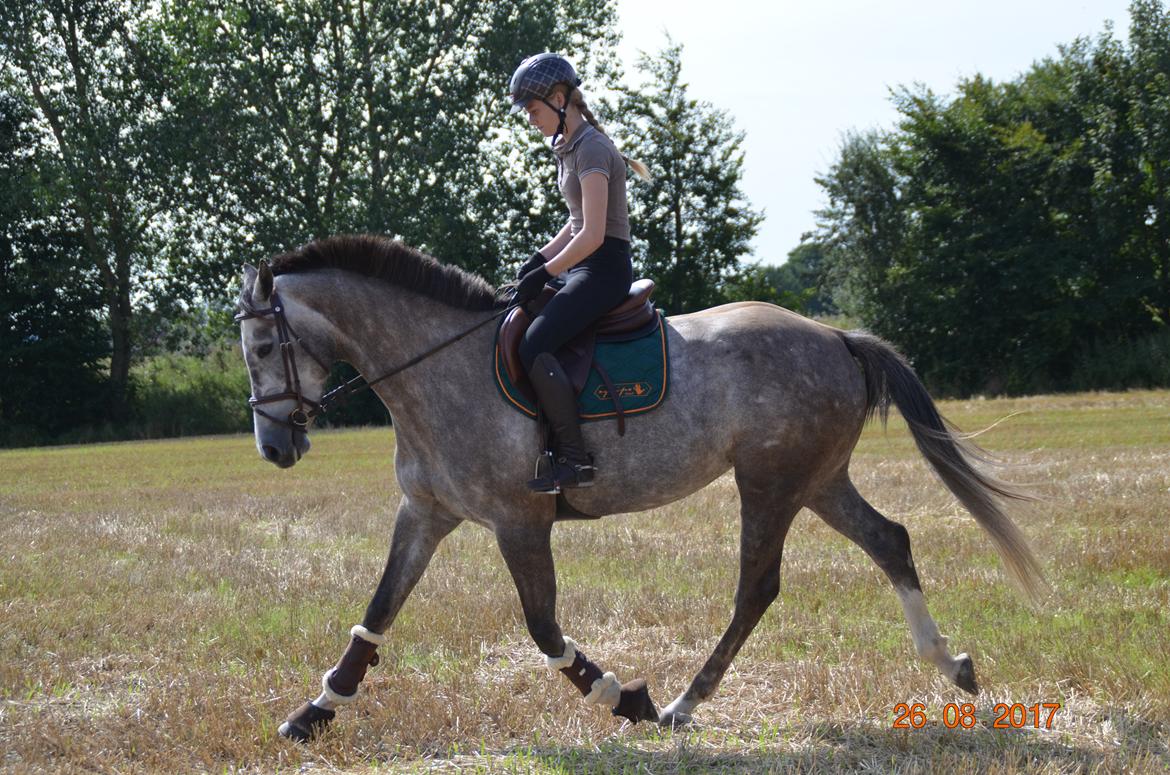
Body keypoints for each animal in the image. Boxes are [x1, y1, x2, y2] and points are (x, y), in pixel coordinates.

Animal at [235, 235, 1043, 739]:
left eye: (266, 345)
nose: (274, 448)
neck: (435, 367)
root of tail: (836, 336)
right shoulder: (426, 513)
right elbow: (376, 614)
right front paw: (314, 712)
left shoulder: (519, 521)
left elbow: (544, 628)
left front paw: (624, 697)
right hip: (817, 479)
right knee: (889, 540)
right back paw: (951, 665)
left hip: (770, 481)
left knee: (759, 585)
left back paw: (684, 701)